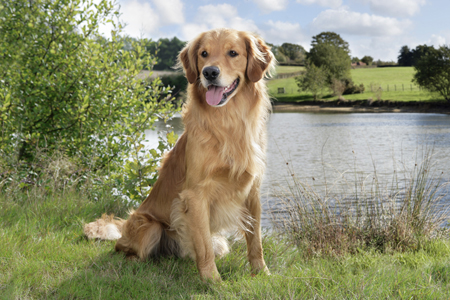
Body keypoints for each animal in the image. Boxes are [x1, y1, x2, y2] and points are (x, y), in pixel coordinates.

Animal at [84, 28, 274, 282]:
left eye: (233, 53)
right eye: (204, 54)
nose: (209, 72)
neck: (227, 123)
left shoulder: (252, 190)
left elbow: (256, 241)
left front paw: (262, 272)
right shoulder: (196, 195)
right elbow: (204, 248)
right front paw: (213, 282)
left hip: (219, 242)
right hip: (150, 227)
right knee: (127, 251)